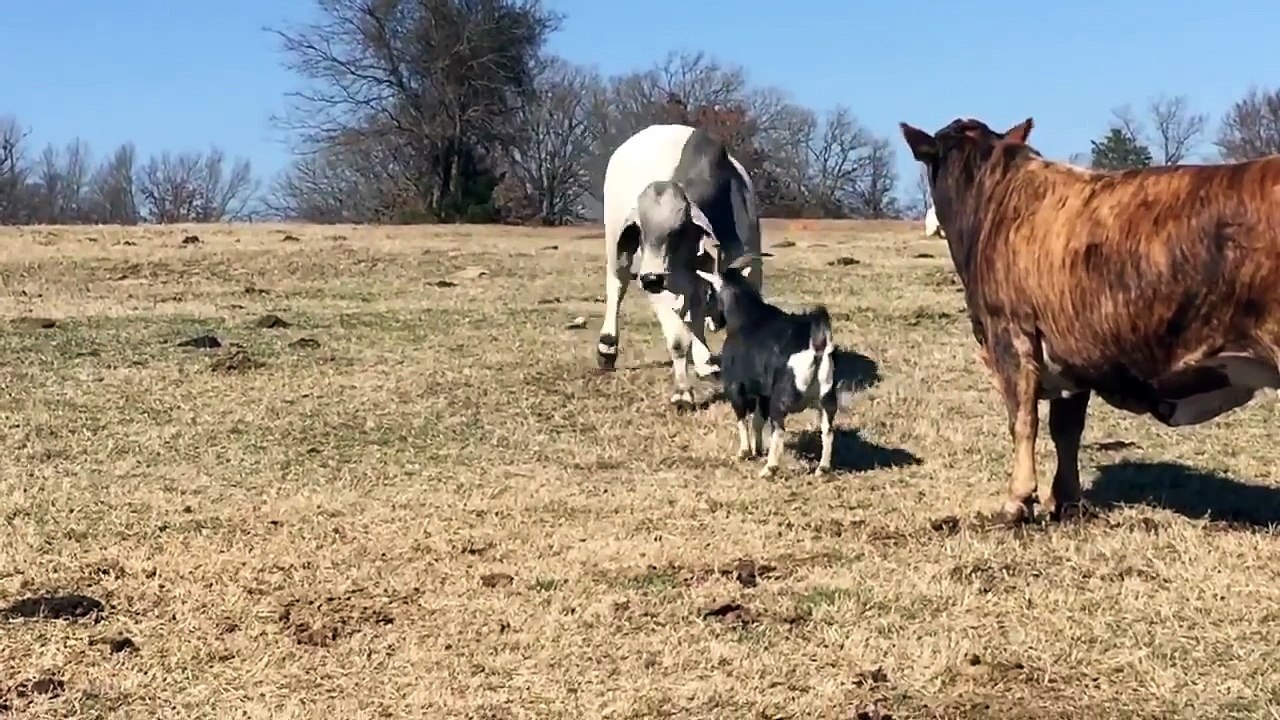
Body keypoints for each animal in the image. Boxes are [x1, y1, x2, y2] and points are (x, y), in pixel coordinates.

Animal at [596, 123, 764, 412]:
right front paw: (683, 393)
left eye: (676, 231)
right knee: (617, 286)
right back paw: (607, 347)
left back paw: (705, 361)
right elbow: (677, 340)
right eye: (641, 231)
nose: (650, 278)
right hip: (617, 249)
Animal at [899, 115, 1280, 525]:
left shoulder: (1011, 333)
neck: (994, 199)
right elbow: (1066, 430)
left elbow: (1023, 420)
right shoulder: (1072, 351)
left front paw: (1017, 501)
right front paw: (1067, 500)